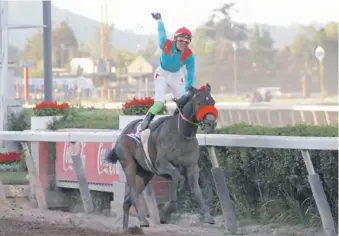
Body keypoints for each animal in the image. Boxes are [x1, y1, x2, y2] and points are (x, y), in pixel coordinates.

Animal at [105, 83, 219, 230]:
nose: (211, 123)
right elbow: (177, 176)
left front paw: (207, 216)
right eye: (199, 103)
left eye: (213, 102)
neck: (182, 134)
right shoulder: (161, 165)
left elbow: (197, 191)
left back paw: (126, 228)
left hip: (145, 173)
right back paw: (143, 220)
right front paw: (165, 211)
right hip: (129, 164)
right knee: (134, 194)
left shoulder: (192, 167)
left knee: (128, 199)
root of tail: (122, 133)